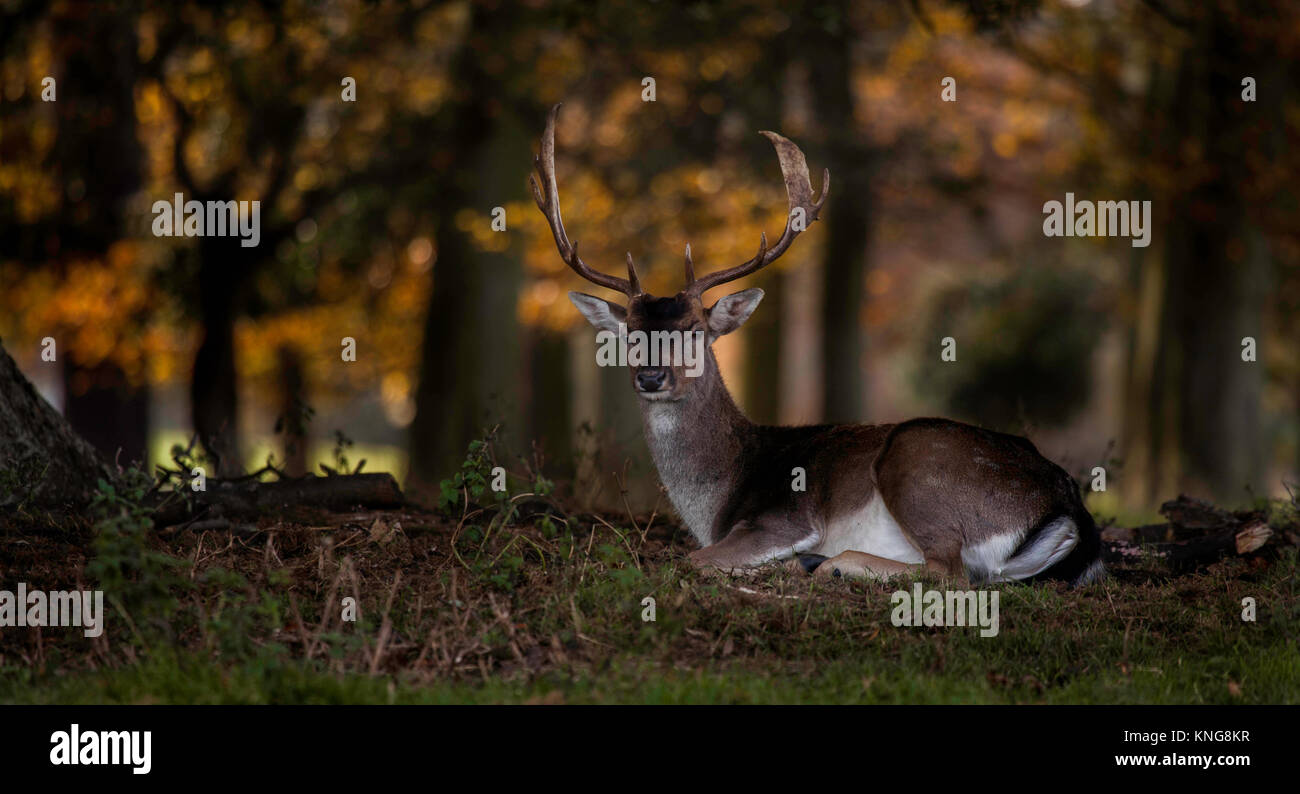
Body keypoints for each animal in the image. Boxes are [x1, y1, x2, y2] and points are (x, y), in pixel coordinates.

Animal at [530, 104, 1104, 586]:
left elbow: (692, 558)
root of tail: (1068, 507)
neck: (716, 497)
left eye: (694, 328)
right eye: (631, 332)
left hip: (916, 459)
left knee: (949, 571)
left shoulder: (783, 517)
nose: (651, 376)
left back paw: (827, 562)